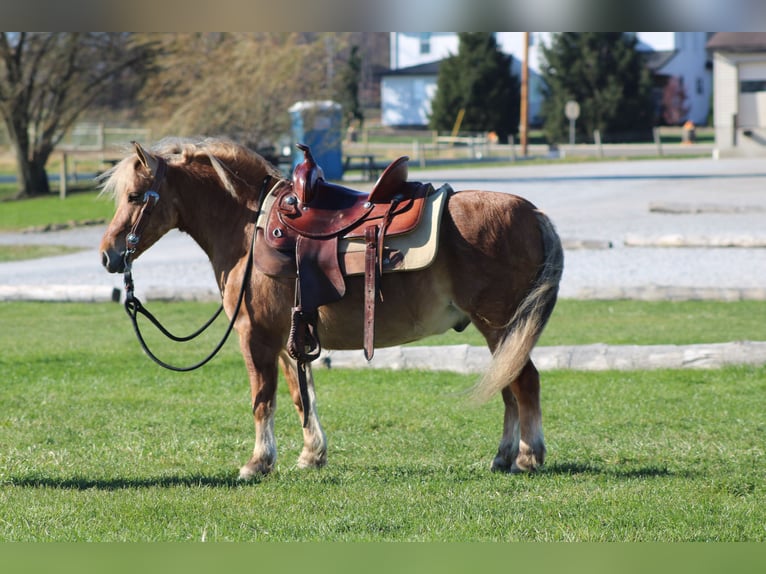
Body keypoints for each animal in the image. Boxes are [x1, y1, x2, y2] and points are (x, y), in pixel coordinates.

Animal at [99, 138, 563, 479]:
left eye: (136, 196)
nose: (108, 255)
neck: (248, 228)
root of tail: (533, 211)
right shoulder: (287, 338)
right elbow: (300, 395)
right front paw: (311, 455)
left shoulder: (255, 336)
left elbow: (262, 398)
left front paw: (257, 463)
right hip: (500, 333)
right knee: (508, 387)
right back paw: (503, 456)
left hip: (500, 326)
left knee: (525, 383)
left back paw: (527, 457)